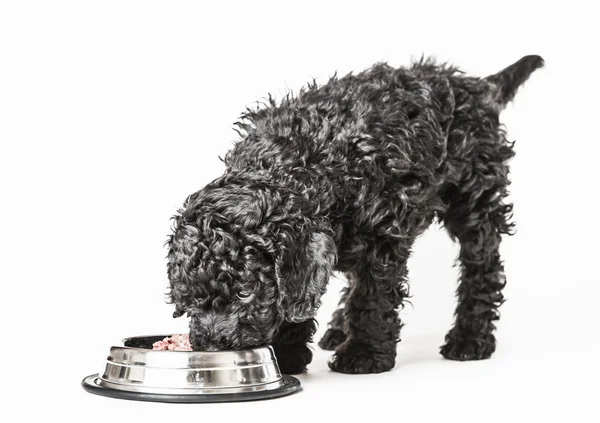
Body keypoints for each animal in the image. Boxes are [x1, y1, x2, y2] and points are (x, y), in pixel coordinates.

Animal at [165, 55, 544, 374]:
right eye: (189, 299)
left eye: (245, 294)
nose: (212, 346)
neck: (300, 163)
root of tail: (477, 87)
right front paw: (288, 355)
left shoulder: (384, 236)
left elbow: (371, 296)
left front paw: (362, 355)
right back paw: (336, 329)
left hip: (475, 199)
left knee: (482, 266)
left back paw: (470, 338)